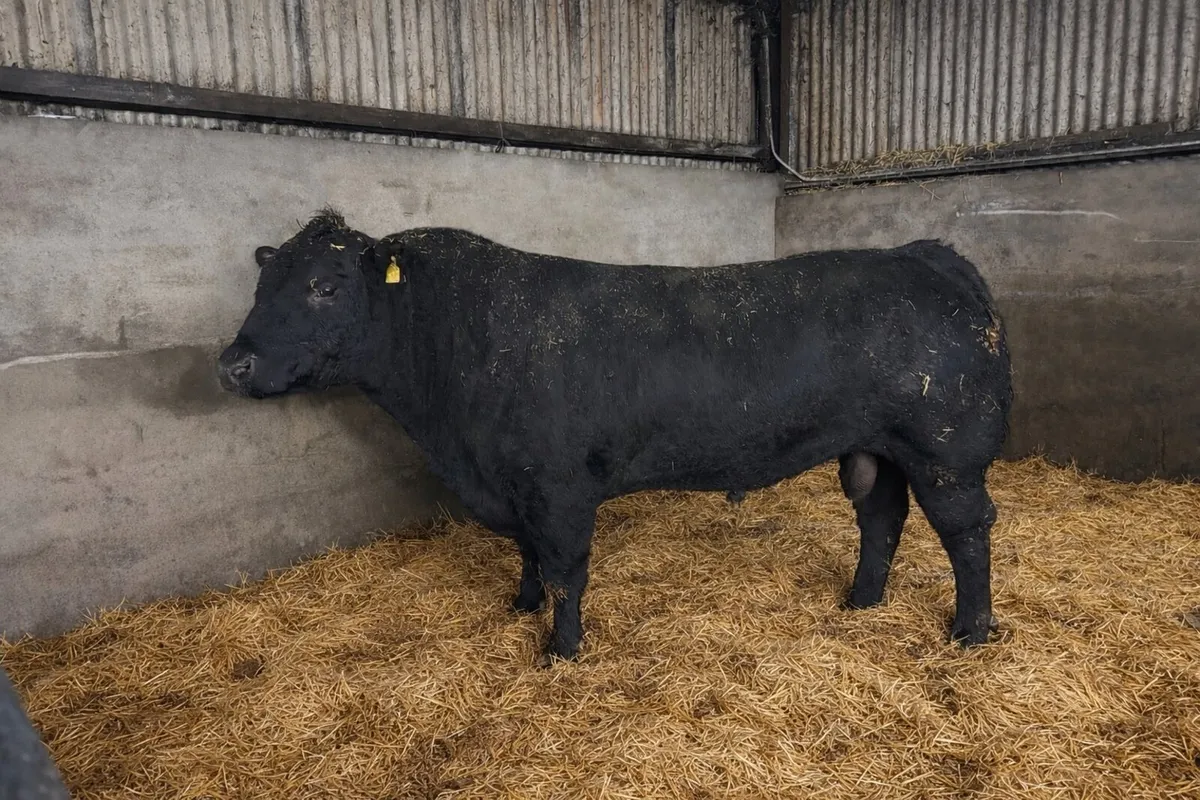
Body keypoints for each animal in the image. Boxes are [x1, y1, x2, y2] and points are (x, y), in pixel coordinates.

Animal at [217, 209, 1012, 666]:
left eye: (324, 286)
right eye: (261, 287)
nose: (232, 364)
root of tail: (919, 254)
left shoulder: (558, 486)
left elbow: (566, 568)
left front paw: (560, 650)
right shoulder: (512, 484)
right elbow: (529, 556)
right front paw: (521, 606)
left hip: (947, 450)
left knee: (967, 532)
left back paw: (970, 631)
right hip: (876, 447)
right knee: (882, 516)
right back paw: (861, 601)